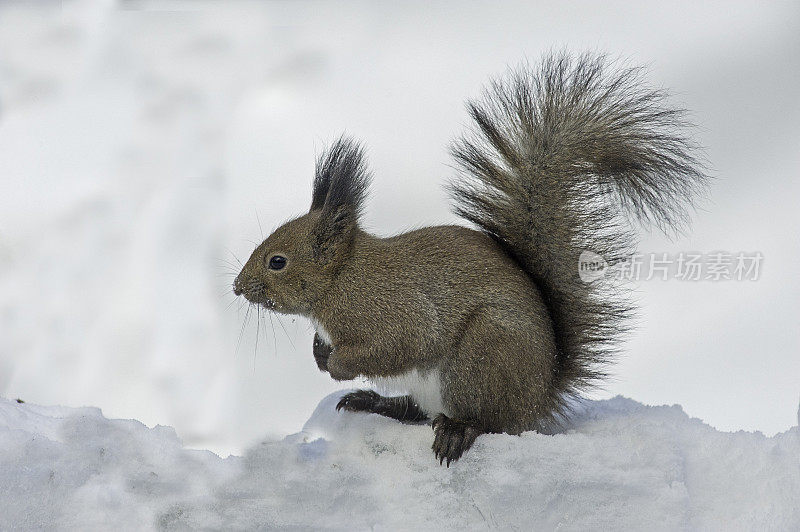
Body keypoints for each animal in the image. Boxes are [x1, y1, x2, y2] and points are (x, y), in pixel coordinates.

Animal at [231, 53, 708, 466]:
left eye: (277, 262)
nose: (237, 287)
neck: (342, 279)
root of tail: (539, 399)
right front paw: (319, 352)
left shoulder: (391, 313)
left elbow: (400, 345)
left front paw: (336, 365)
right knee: (417, 412)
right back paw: (374, 402)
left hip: (479, 359)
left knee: (488, 422)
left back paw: (455, 431)